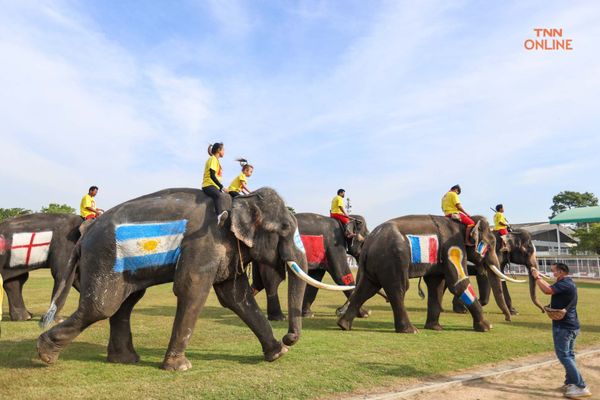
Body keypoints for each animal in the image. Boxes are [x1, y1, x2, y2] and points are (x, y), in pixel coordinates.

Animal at [36, 189, 352, 370]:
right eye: (285, 228)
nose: (289, 337)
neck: (238, 202)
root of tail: (84, 236)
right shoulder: (205, 242)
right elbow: (193, 290)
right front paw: (179, 367)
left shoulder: (226, 249)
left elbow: (235, 296)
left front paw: (277, 354)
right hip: (105, 257)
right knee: (103, 306)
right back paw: (46, 354)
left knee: (125, 303)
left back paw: (125, 360)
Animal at [338, 214, 516, 332]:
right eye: (490, 244)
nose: (508, 318)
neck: (464, 222)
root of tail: (369, 242)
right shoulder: (453, 247)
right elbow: (458, 283)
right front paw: (487, 327)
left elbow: (436, 285)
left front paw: (435, 327)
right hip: (393, 258)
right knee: (398, 288)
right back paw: (410, 330)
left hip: (375, 263)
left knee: (367, 288)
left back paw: (343, 325)